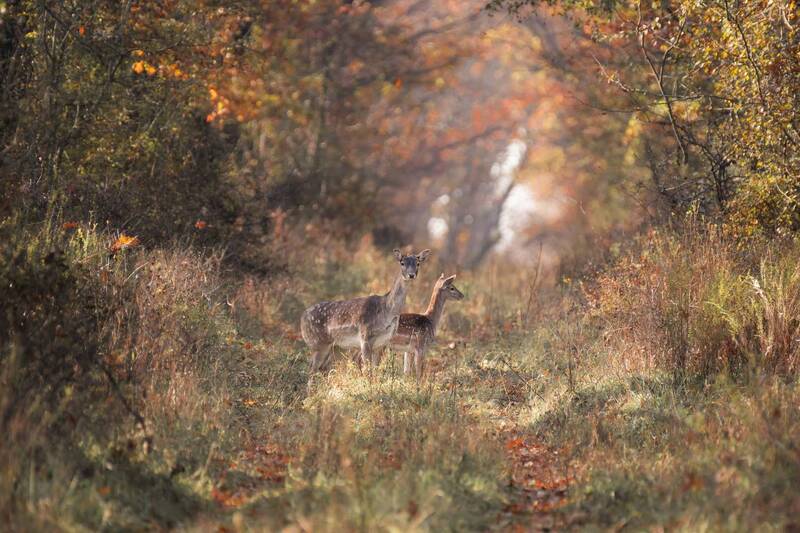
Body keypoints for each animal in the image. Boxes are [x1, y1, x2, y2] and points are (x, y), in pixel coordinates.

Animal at [300, 248, 432, 375]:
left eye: (418, 263)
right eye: (402, 262)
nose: (411, 275)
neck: (386, 311)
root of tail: (302, 318)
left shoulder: (382, 343)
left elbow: (375, 371)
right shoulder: (365, 337)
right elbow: (368, 371)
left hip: (335, 346)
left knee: (322, 368)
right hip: (317, 343)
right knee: (311, 369)